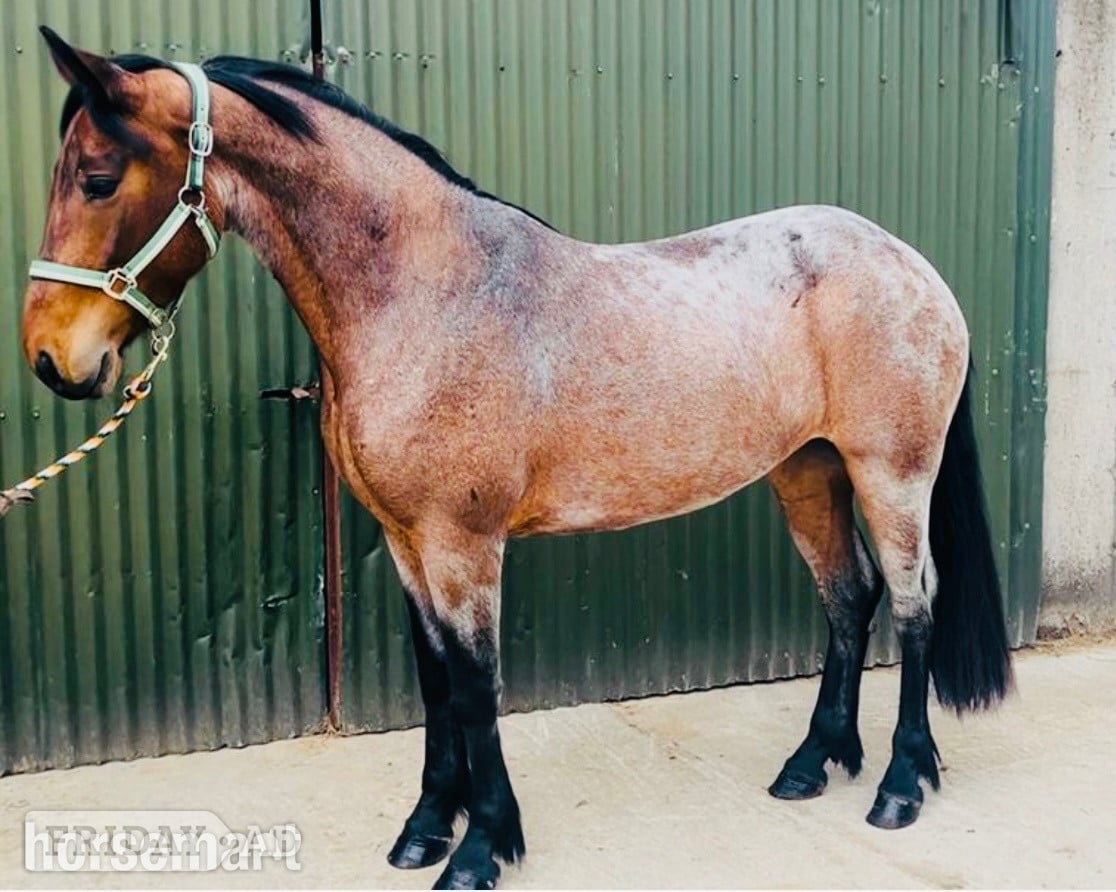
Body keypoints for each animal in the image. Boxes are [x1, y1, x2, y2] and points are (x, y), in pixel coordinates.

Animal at [21, 29, 1012, 890]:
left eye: (98, 178)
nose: (51, 359)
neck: (426, 295)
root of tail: (909, 265)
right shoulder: (408, 542)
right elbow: (435, 683)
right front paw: (426, 829)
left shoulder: (464, 544)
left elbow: (474, 686)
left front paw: (481, 849)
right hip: (807, 471)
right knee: (850, 598)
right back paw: (814, 762)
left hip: (891, 473)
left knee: (915, 605)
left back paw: (900, 785)